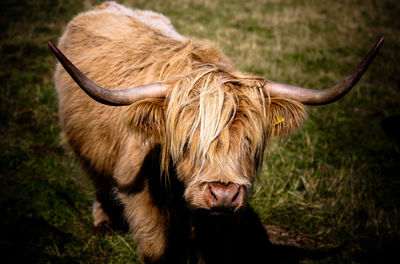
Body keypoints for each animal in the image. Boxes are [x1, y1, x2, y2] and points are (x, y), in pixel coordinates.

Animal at [48, 1, 382, 262]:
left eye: (249, 141)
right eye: (186, 143)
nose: (223, 193)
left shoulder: (224, 219)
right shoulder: (138, 194)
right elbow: (156, 250)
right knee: (96, 180)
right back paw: (102, 224)